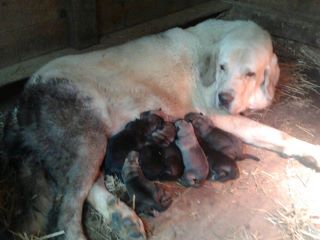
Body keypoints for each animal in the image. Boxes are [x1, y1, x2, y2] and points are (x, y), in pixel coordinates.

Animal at [3, 19, 320, 240]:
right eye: (222, 67)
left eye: (250, 73)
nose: (223, 97)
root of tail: (22, 98)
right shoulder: (217, 115)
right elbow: (278, 134)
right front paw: (312, 151)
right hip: (88, 138)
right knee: (68, 210)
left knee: (82, 188)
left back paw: (124, 220)